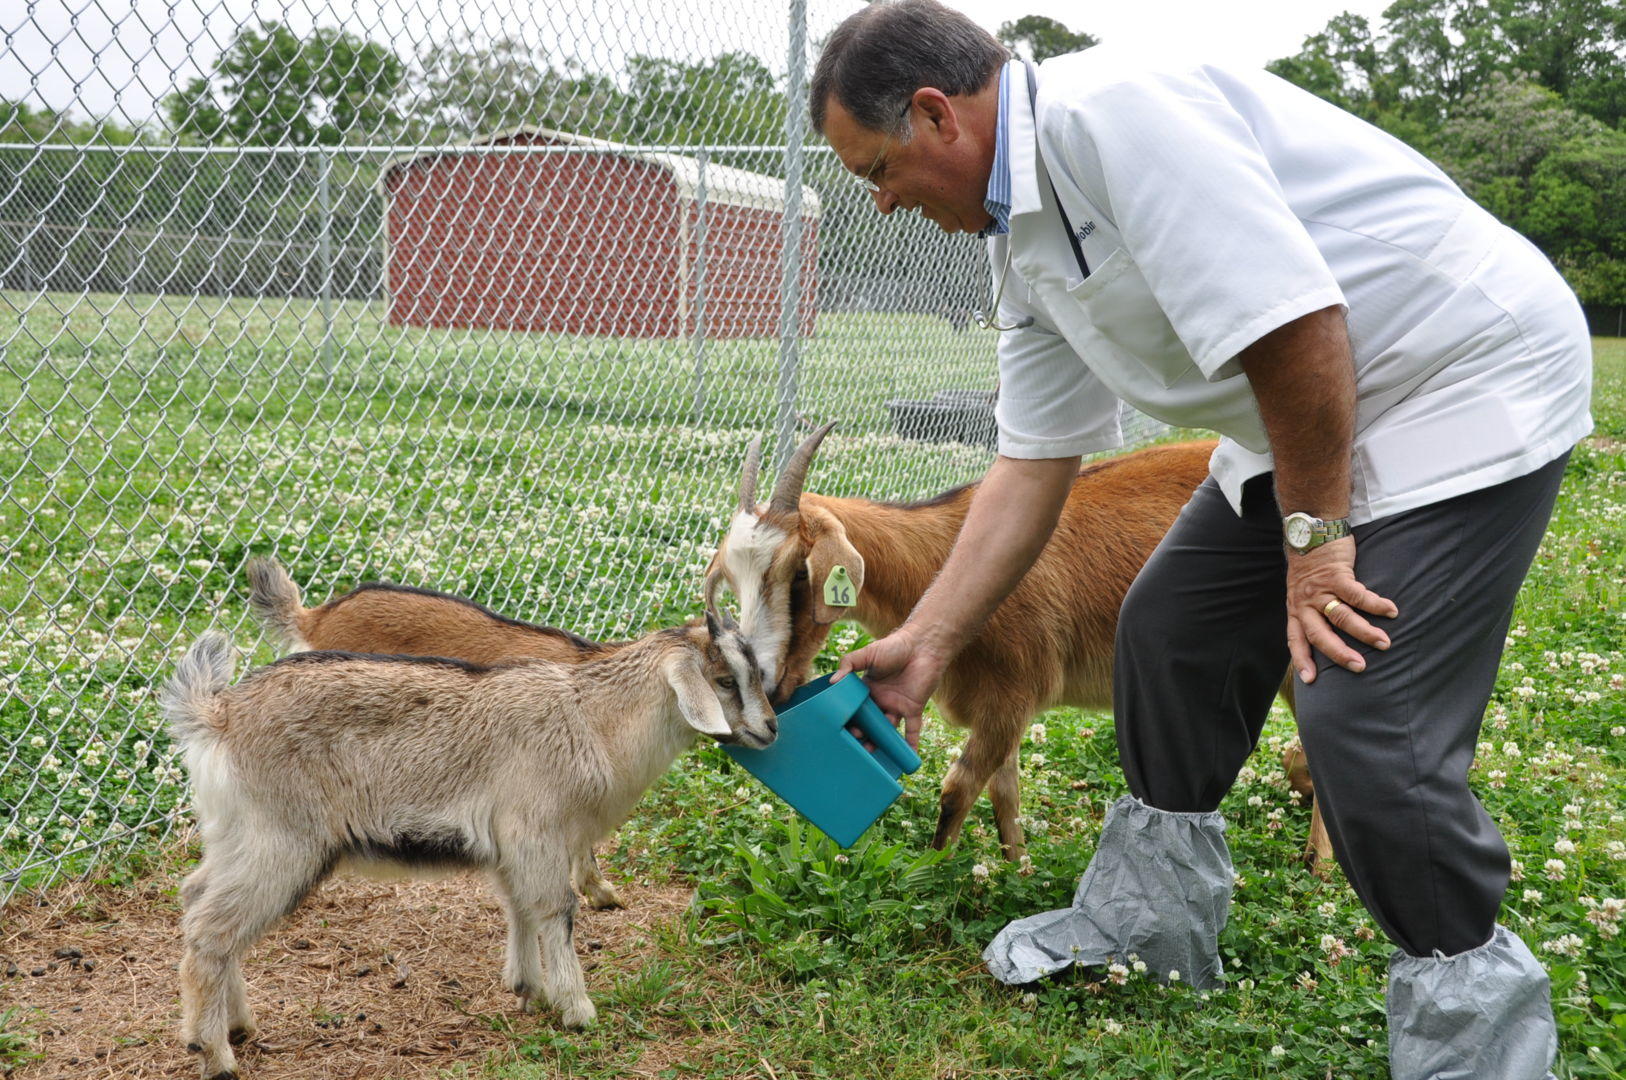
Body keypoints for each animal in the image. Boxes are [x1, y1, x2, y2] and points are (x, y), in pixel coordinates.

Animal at [165, 614, 773, 1080]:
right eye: (723, 680)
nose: (769, 729)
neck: (594, 722)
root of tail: (217, 716)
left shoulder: (509, 845)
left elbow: (519, 908)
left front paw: (530, 989)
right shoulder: (537, 830)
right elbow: (556, 910)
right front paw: (578, 1009)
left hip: (234, 834)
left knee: (198, 900)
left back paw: (237, 1024)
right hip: (283, 839)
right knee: (211, 930)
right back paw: (214, 1053)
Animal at [705, 429, 1326, 871]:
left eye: (798, 575)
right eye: (733, 583)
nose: (766, 682)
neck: (942, 558)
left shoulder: (1015, 688)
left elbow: (958, 788)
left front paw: (930, 872)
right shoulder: (999, 702)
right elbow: (1004, 790)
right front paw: (1016, 867)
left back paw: (1319, 865)